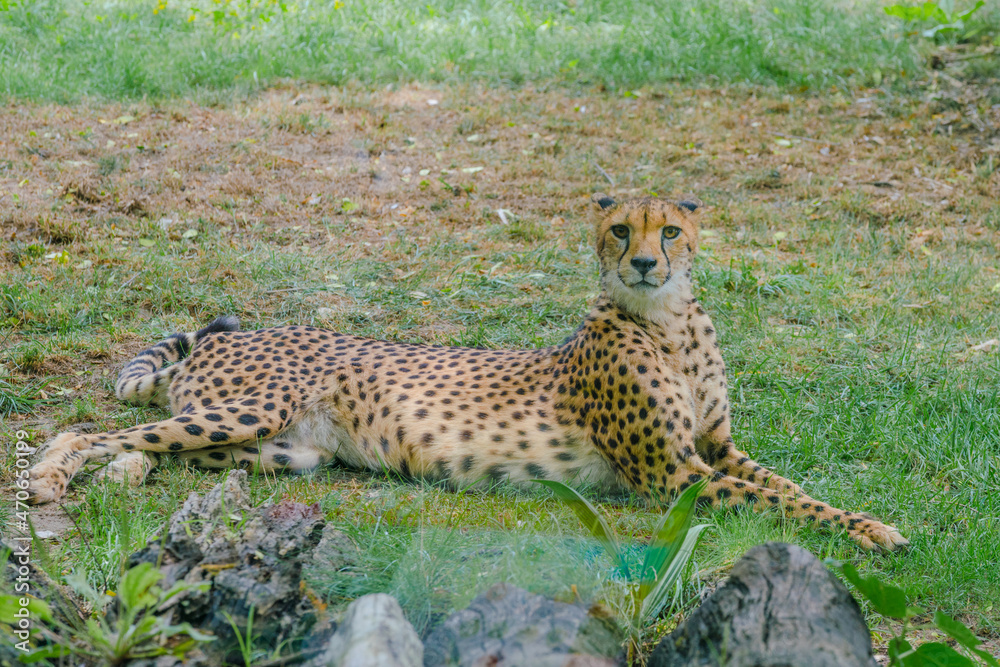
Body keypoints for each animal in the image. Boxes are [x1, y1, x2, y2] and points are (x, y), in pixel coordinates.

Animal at [27, 193, 908, 551]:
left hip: (279, 450)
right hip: (250, 413)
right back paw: (49, 479)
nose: (646, 262)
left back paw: (124, 477)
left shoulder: (716, 451)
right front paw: (872, 532)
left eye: (671, 231)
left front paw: (871, 521)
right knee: (89, 429)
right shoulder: (675, 474)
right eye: (621, 230)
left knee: (143, 443)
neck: (669, 322)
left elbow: (792, 487)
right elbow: (785, 504)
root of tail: (223, 340)